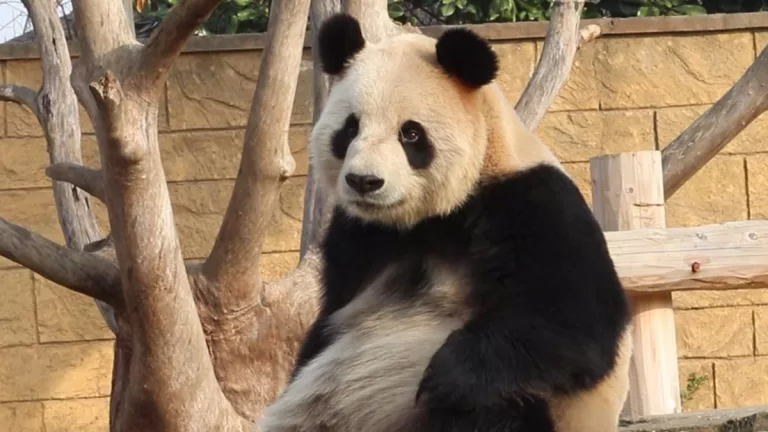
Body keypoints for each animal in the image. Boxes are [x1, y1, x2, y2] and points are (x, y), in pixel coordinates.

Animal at [259, 13, 633, 432]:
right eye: (350, 128)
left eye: (410, 133)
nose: (364, 182)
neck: (426, 218)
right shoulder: (358, 236)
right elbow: (326, 322)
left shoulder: (533, 202)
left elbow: (575, 321)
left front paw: (444, 377)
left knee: (494, 406)